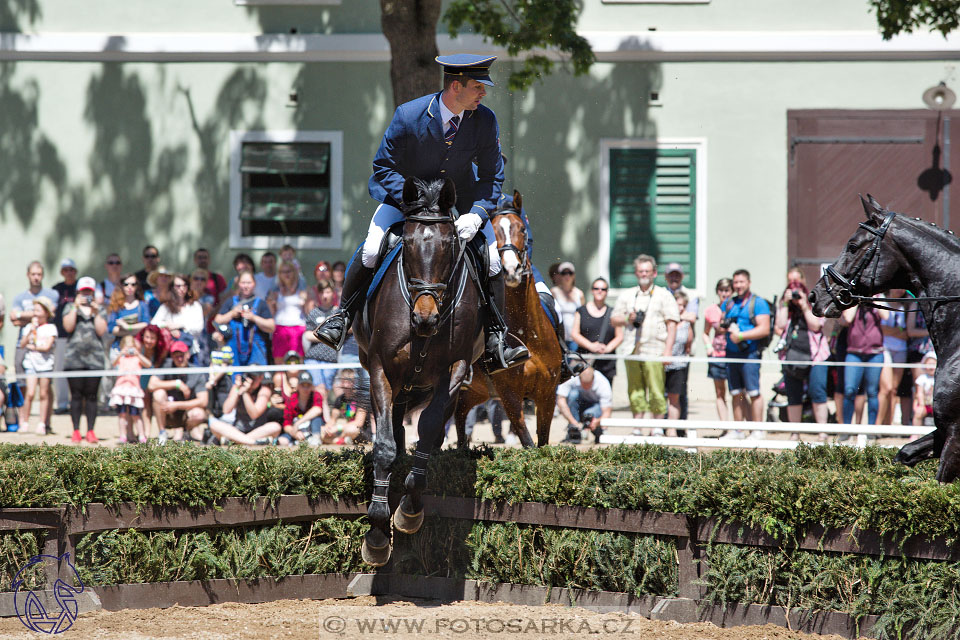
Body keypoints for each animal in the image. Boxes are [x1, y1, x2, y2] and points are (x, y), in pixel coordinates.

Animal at [352, 176, 484, 564]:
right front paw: (377, 531)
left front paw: (409, 509)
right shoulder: (381, 370)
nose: (425, 319)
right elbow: (384, 445)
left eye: (449, 244)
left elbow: (427, 429)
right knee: (394, 428)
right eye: (407, 244)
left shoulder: (455, 369)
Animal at [452, 192, 564, 448]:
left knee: (460, 415)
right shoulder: (510, 397)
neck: (528, 334)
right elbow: (528, 442)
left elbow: (543, 442)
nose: (511, 269)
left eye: (522, 229)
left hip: (476, 392)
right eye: (493, 231)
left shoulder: (547, 395)